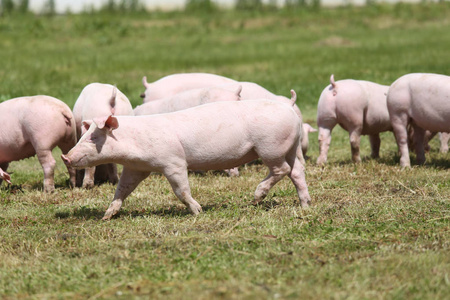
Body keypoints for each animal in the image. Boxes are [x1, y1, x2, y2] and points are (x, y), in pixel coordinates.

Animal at [61, 99, 312, 219]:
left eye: (93, 137)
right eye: (83, 135)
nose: (65, 156)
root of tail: (291, 111)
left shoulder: (173, 161)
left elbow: (180, 190)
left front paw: (198, 211)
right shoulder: (136, 168)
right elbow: (122, 189)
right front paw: (107, 216)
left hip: (270, 146)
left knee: (282, 170)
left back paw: (256, 198)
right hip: (288, 147)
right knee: (297, 172)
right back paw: (306, 205)